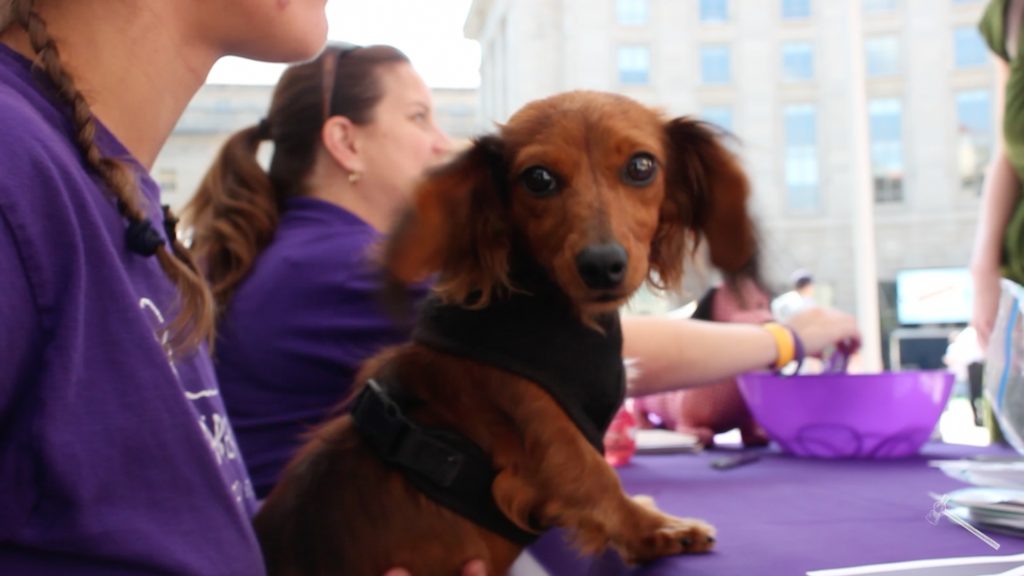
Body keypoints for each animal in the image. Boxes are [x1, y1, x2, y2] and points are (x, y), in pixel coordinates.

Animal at [251, 89, 757, 573]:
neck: (559, 311)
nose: (602, 265)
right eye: (538, 178)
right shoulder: (540, 422)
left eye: (641, 166)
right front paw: (655, 531)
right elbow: (597, 478)